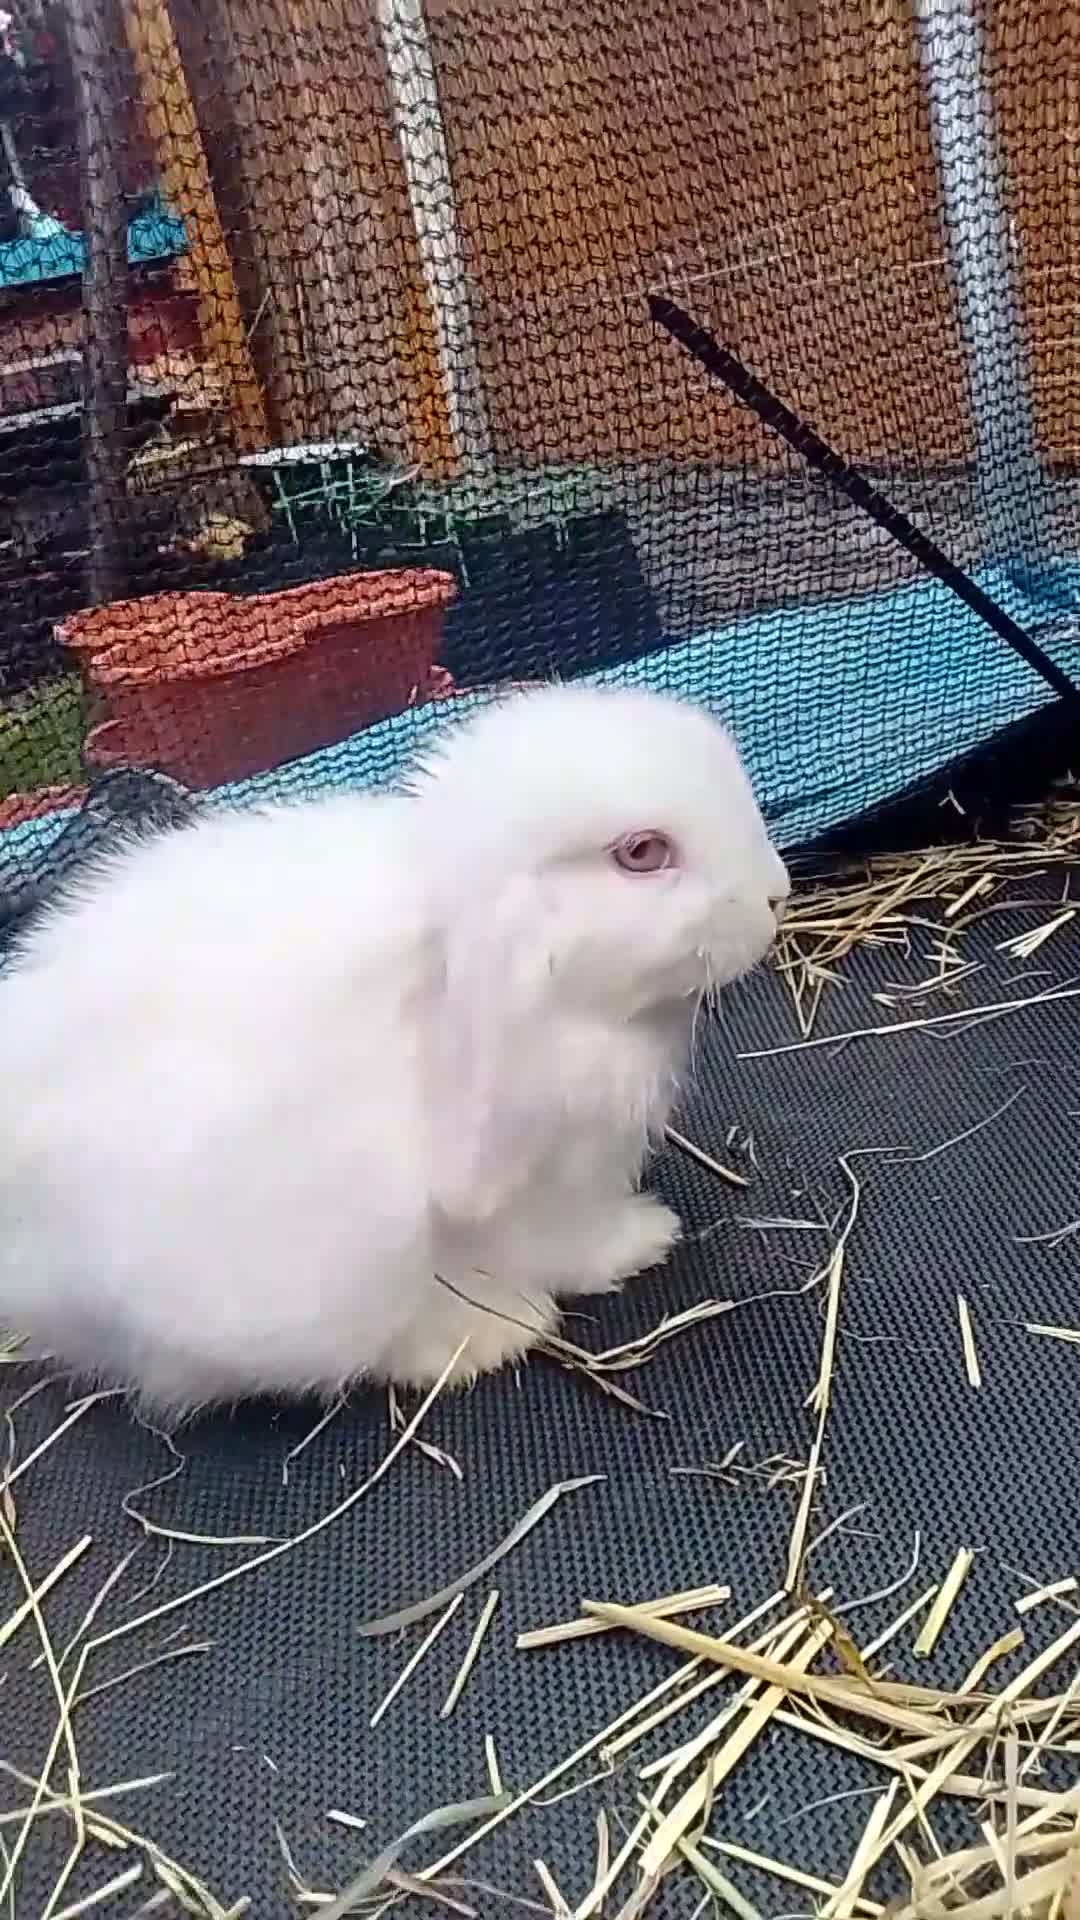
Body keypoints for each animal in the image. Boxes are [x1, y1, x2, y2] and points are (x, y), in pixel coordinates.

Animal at [0, 682, 789, 1414]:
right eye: (643, 853)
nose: (776, 894)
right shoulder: (543, 1181)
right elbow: (558, 1240)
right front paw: (638, 1241)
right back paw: (484, 1336)